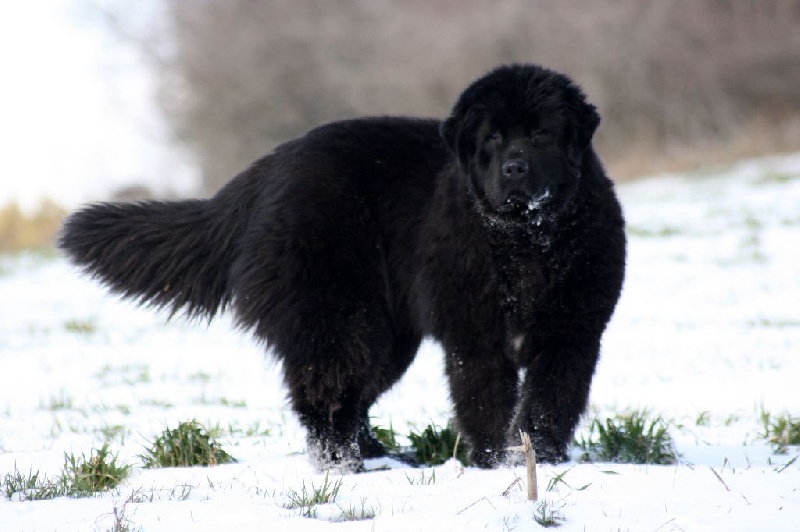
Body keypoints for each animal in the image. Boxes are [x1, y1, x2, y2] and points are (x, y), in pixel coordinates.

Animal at [61, 64, 624, 472]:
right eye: (491, 138)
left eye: (541, 134)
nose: (514, 168)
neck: (528, 241)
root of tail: (269, 168)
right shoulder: (476, 337)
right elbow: (488, 402)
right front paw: (496, 464)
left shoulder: (572, 333)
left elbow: (550, 401)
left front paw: (541, 460)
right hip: (337, 313)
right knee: (327, 390)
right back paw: (342, 463)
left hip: (385, 333)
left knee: (355, 392)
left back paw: (374, 454)